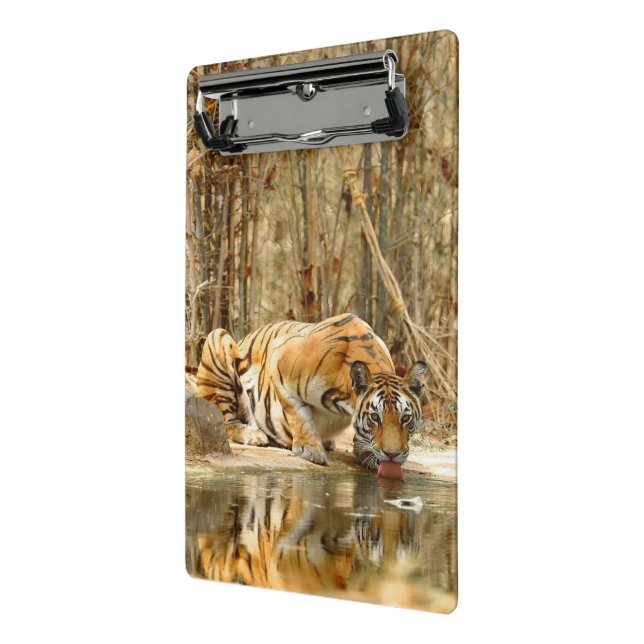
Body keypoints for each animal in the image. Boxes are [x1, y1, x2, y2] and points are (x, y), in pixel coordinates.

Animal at [196, 312, 427, 468]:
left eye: (405, 419)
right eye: (374, 417)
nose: (392, 455)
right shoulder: (279, 359)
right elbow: (298, 414)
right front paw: (311, 449)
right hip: (218, 339)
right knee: (224, 421)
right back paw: (253, 434)